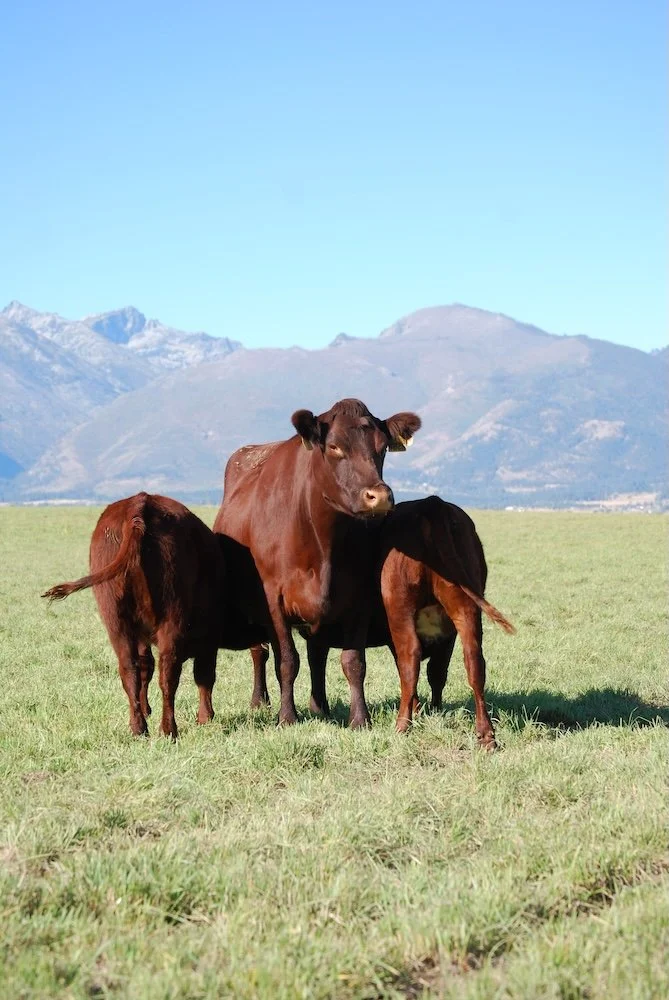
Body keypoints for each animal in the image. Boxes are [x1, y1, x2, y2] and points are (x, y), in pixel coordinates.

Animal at [42, 492, 263, 739]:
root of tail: (139, 503)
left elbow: (145, 667)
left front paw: (146, 710)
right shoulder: (209, 636)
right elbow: (204, 674)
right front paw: (206, 717)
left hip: (116, 621)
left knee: (129, 669)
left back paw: (138, 727)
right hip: (171, 619)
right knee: (169, 674)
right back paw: (168, 729)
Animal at [213, 398, 422, 728]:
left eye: (383, 447)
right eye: (334, 446)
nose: (379, 496)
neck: (322, 538)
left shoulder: (359, 598)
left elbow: (353, 662)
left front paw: (360, 718)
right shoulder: (272, 600)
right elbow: (287, 661)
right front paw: (287, 717)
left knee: (316, 653)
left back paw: (319, 706)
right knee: (260, 651)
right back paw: (260, 701)